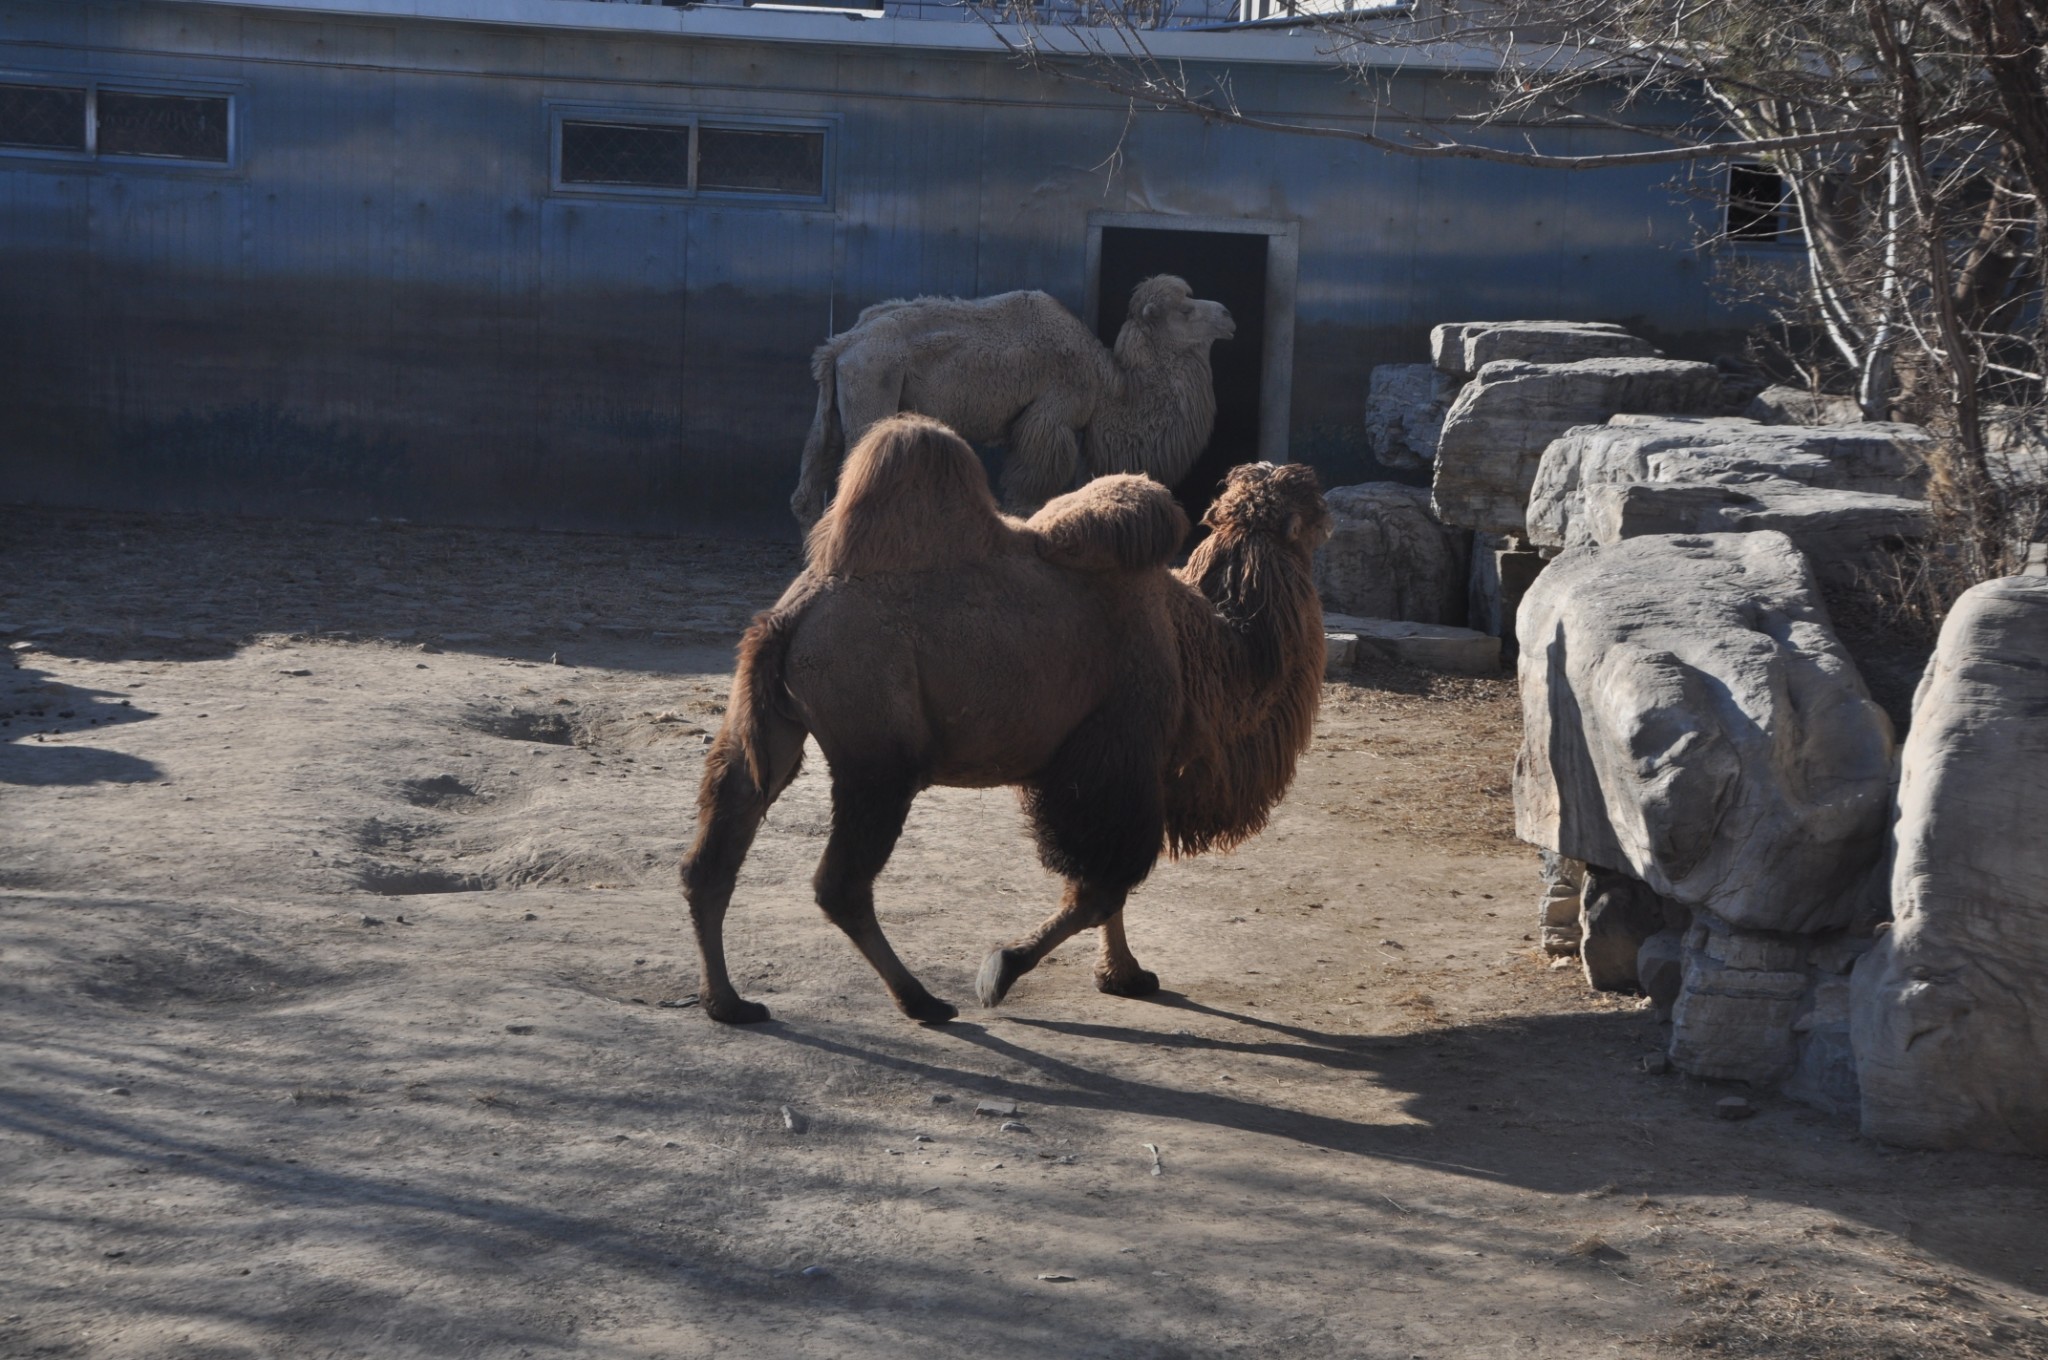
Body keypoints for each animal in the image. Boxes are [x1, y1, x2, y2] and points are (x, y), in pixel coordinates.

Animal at [688, 411, 1327, 1020]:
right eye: (1314, 506)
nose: (1327, 513)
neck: (1203, 647)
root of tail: (790, 617)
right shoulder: (1117, 754)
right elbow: (1100, 887)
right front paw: (1003, 969)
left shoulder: (1106, 767)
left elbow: (1105, 887)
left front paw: (1124, 976)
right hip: (877, 752)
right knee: (840, 883)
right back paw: (921, 1001)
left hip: (773, 725)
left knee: (718, 846)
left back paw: (729, 1003)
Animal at [782, 276, 1228, 524]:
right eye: (1185, 311)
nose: (1227, 313)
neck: (1110, 383)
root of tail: (841, 346)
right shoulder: (1051, 416)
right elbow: (1028, 488)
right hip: (874, 384)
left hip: (834, 406)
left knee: (811, 480)